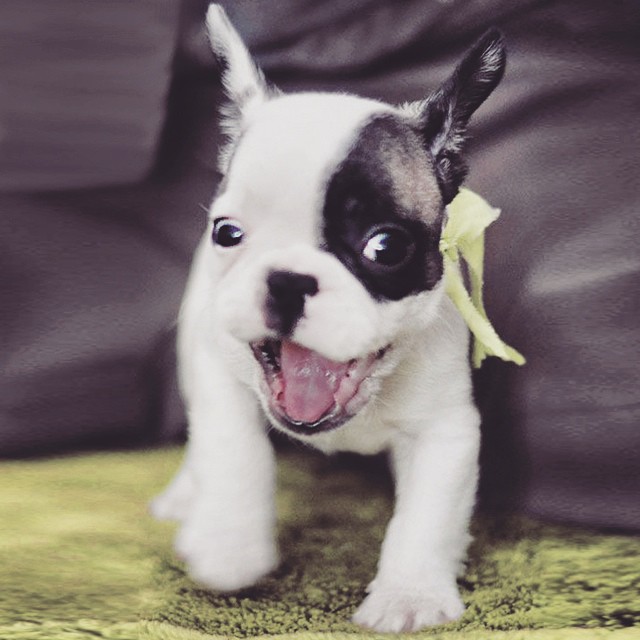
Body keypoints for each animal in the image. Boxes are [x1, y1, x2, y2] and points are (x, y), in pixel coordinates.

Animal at [152, 5, 508, 632]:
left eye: (385, 247)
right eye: (227, 233)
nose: (288, 279)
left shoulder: (446, 430)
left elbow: (426, 517)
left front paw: (409, 596)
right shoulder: (220, 376)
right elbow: (235, 451)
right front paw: (229, 547)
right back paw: (185, 499)